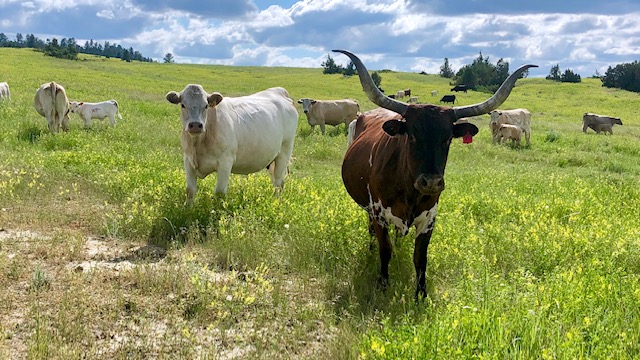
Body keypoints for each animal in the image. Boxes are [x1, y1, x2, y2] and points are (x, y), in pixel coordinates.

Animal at [165, 84, 298, 202]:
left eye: (206, 106)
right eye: (183, 105)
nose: (196, 125)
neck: (198, 145)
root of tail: (279, 91)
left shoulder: (225, 162)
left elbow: (219, 193)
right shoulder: (188, 160)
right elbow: (190, 190)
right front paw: (189, 208)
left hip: (285, 151)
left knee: (279, 182)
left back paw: (276, 203)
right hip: (272, 159)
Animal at [336, 49, 536, 300]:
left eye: (448, 138)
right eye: (411, 136)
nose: (431, 182)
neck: (409, 191)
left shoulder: (430, 218)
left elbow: (420, 258)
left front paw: (421, 295)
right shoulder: (379, 212)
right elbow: (385, 250)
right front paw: (383, 284)